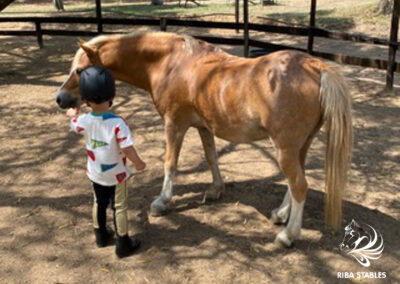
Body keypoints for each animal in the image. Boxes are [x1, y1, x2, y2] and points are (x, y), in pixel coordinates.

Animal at [54, 32, 352, 246]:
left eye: (80, 70)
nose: (60, 99)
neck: (171, 63)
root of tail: (315, 66)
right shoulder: (203, 126)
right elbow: (211, 158)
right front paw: (216, 190)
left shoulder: (174, 124)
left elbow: (170, 163)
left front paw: (162, 202)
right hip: (298, 146)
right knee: (295, 181)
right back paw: (280, 215)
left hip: (284, 148)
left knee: (299, 184)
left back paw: (288, 236)